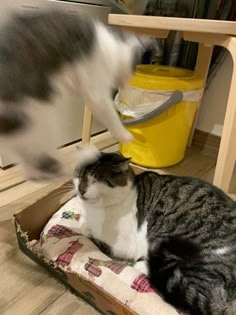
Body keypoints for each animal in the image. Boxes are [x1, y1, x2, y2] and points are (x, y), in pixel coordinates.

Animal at [0, 9, 151, 180]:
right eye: (135, 67)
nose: (129, 79)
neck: (112, 45)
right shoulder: (96, 90)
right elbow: (109, 114)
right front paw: (125, 135)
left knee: (29, 162)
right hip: (41, 116)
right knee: (44, 159)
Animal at [74, 147, 236, 315]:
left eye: (95, 180)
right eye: (78, 175)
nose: (80, 190)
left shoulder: (123, 246)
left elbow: (93, 236)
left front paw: (86, 229)